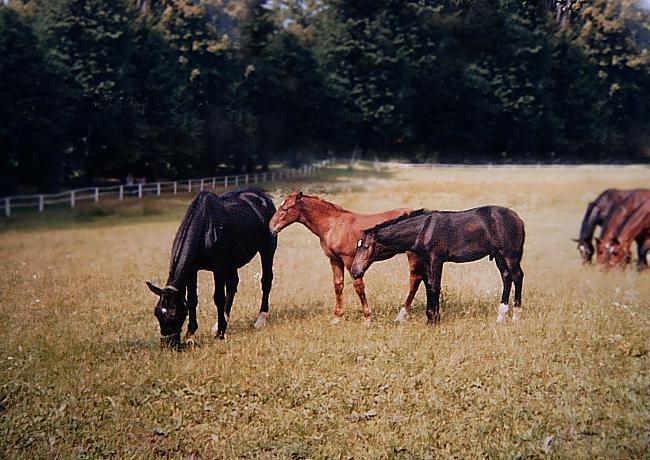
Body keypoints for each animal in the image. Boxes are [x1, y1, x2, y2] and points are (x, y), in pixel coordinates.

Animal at [147, 189, 276, 346]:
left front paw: (220, 333)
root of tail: (263, 196)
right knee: (233, 285)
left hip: (267, 249)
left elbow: (218, 297)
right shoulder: (192, 270)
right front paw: (191, 334)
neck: (205, 227)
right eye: (157, 312)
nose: (168, 345)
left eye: (176, 313)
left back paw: (261, 318)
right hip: (231, 263)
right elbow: (192, 299)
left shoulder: (218, 268)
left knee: (266, 281)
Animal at [268, 192, 426, 322]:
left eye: (285, 208)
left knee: (415, 279)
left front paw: (367, 318)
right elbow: (338, 285)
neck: (333, 225)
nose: (271, 227)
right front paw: (337, 317)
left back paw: (402, 314)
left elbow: (358, 286)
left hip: (413, 255)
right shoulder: (335, 259)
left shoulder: (349, 259)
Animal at [346, 207, 524, 326]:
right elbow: (428, 286)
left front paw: (434, 320)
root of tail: (518, 219)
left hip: (510, 255)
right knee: (506, 277)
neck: (423, 230)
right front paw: (431, 318)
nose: (355, 271)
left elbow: (435, 286)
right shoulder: (426, 261)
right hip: (499, 256)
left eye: (365, 246)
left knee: (517, 276)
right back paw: (501, 316)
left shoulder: (436, 259)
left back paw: (516, 315)